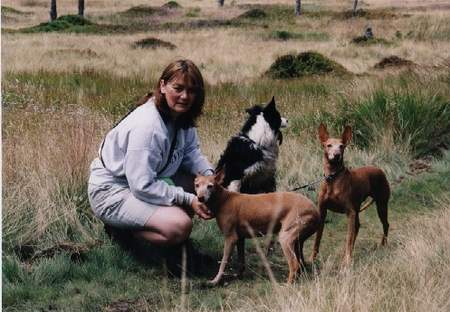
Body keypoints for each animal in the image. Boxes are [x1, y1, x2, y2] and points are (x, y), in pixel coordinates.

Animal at [312, 124, 390, 266]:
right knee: (357, 227)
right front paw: (312, 258)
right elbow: (317, 239)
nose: (336, 155)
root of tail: (380, 170)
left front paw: (347, 260)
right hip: (358, 208)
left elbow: (348, 238)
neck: (332, 178)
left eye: (342, 146)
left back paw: (383, 244)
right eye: (329, 145)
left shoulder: (350, 212)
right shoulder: (322, 211)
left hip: (381, 205)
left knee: (385, 224)